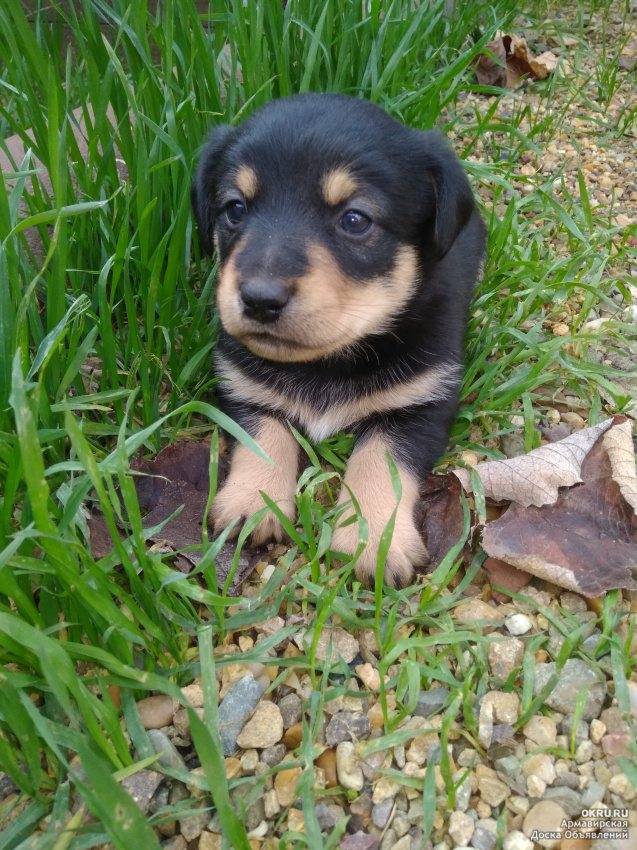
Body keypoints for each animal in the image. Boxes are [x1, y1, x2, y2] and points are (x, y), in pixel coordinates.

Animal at [191, 91, 484, 584]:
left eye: (355, 219)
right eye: (235, 208)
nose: (260, 299)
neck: (329, 361)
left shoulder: (422, 402)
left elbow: (379, 460)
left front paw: (374, 541)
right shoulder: (243, 383)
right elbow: (263, 435)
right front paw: (253, 501)